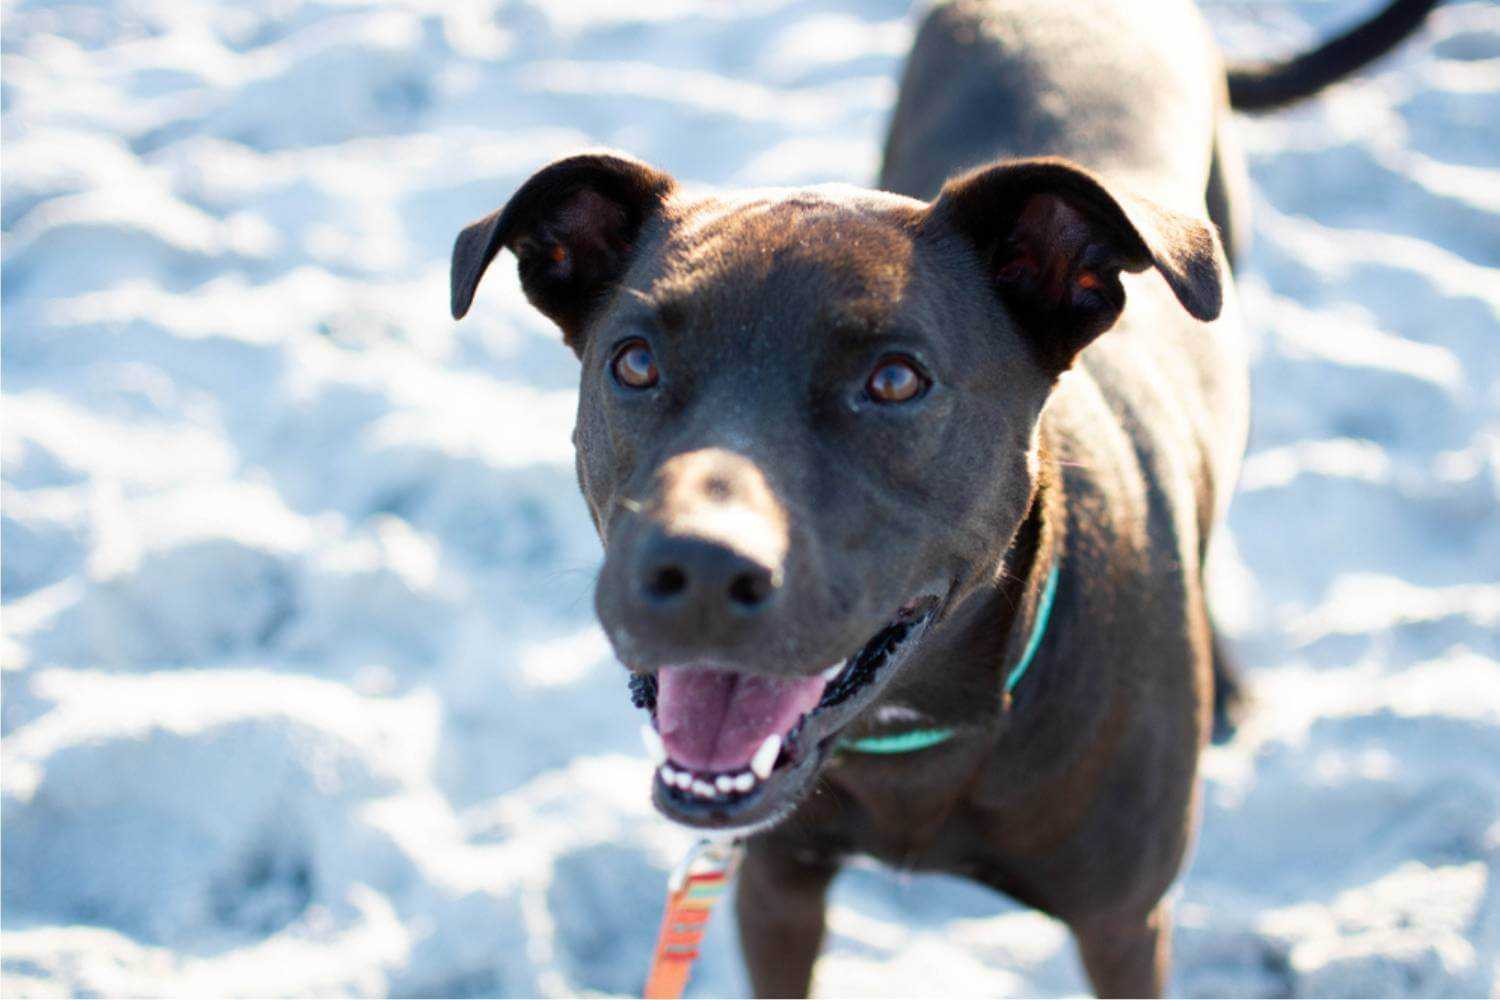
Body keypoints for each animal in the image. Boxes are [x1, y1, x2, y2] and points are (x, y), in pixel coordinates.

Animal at [450, 0, 1434, 995]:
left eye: (895, 380)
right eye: (635, 363)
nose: (697, 571)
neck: (916, 733)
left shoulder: (1125, 925)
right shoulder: (775, 888)